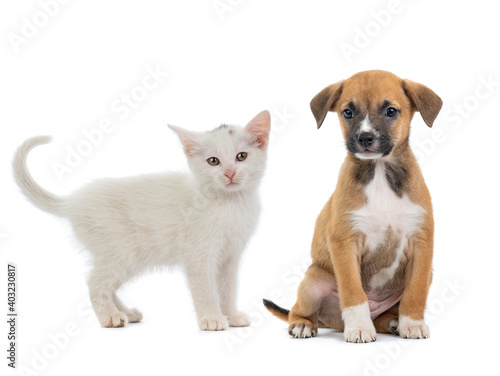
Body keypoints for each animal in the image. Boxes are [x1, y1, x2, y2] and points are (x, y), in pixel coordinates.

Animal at [12, 110, 270, 330]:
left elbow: (228, 289)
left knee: (107, 284)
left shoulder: (230, 256)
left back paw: (126, 313)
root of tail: (73, 202)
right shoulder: (198, 254)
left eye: (241, 157)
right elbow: (205, 289)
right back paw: (110, 317)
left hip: (127, 258)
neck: (230, 203)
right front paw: (212, 319)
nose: (229, 173)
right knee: (96, 283)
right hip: (122, 252)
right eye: (213, 161)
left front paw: (232, 316)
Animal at [264, 69, 444, 342]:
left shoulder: (421, 244)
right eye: (348, 112)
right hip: (312, 281)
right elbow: (353, 292)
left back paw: (393, 322)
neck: (379, 172)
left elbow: (416, 291)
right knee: (298, 309)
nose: (365, 137)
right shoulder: (345, 243)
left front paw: (412, 323)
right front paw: (359, 327)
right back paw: (304, 324)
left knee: (384, 315)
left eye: (391, 111)